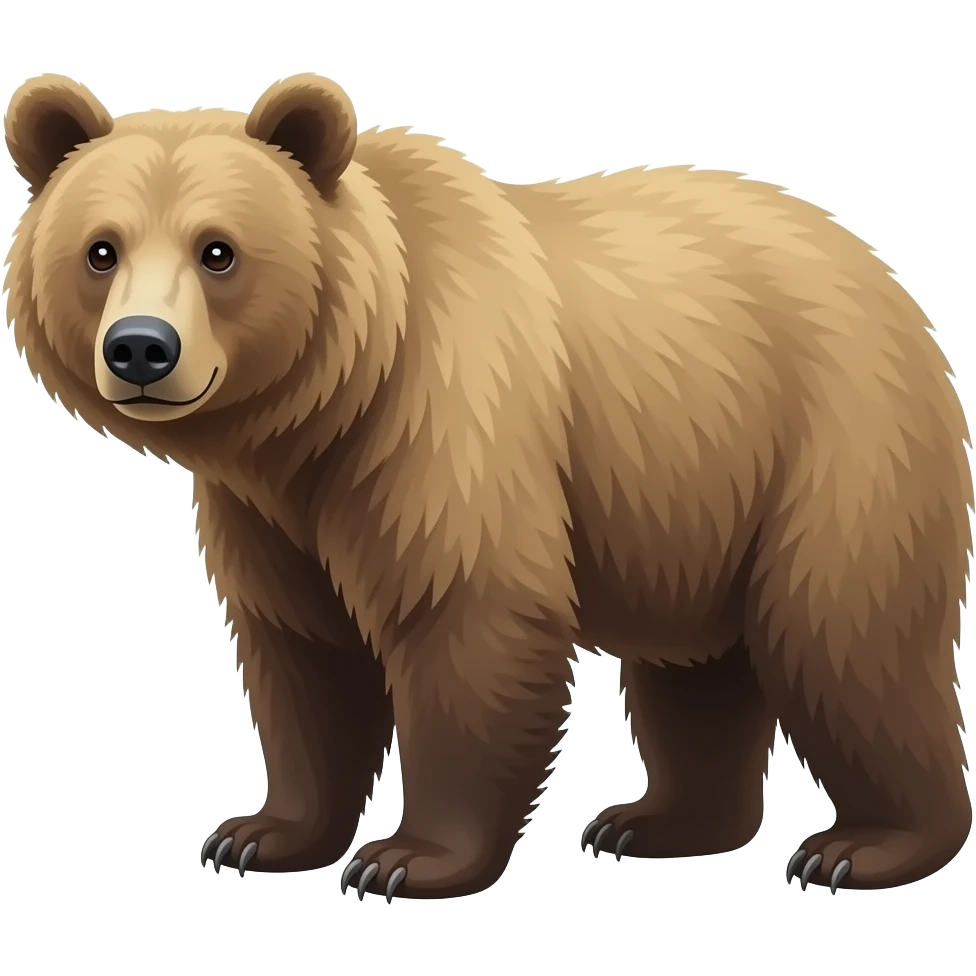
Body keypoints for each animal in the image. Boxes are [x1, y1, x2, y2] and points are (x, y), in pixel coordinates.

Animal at [3, 71, 973, 901]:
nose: (141, 346)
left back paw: (865, 846)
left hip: (839, 444)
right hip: (700, 489)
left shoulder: (444, 426)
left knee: (845, 636)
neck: (322, 412)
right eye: (100, 250)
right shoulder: (269, 513)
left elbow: (464, 619)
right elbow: (304, 652)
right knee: (698, 664)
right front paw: (262, 833)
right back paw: (659, 822)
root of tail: (886, 275)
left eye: (218, 251)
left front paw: (407, 858)